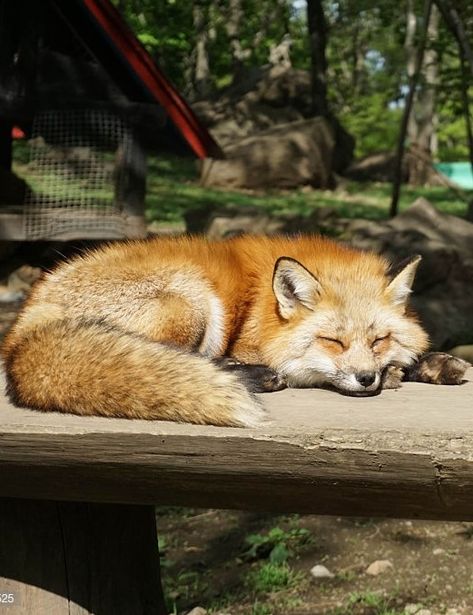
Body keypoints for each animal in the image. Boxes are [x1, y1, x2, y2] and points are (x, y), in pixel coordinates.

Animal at [1, 236, 468, 428]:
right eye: (333, 341)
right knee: (184, 358)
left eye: (379, 339)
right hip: (188, 298)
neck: (267, 309)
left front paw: (434, 365)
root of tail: (23, 330)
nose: (367, 378)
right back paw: (254, 378)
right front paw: (398, 375)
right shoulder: (250, 342)